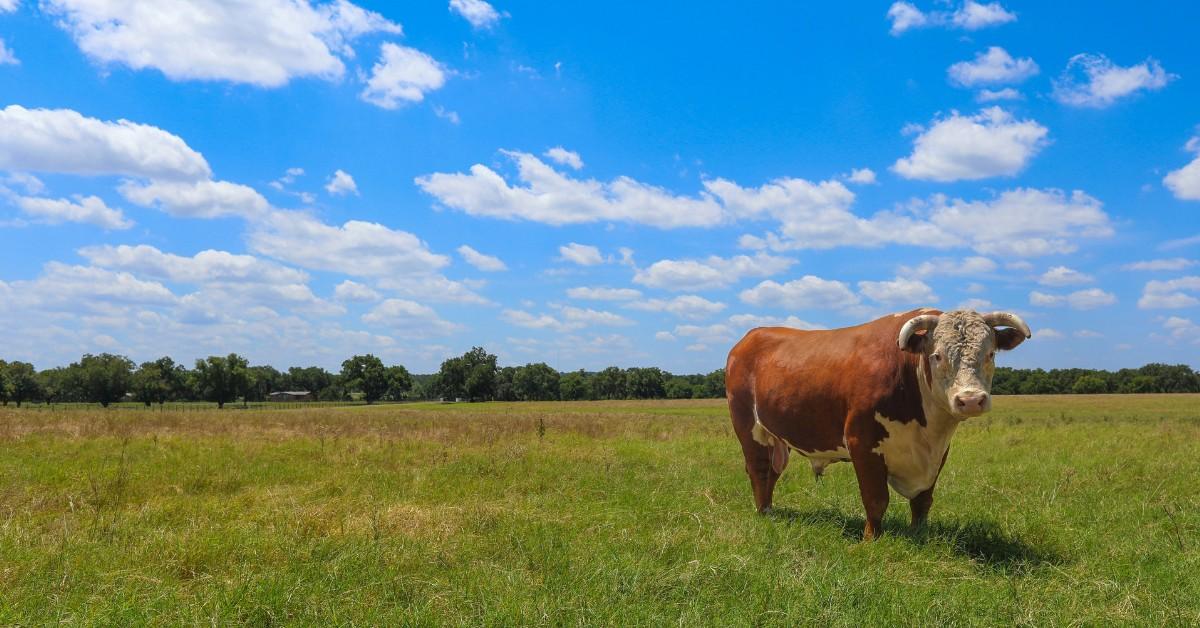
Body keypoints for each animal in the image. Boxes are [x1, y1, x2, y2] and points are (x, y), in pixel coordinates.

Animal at [725, 308, 1030, 540]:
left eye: (990, 354)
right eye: (937, 355)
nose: (971, 399)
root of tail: (750, 337)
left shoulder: (939, 452)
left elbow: (923, 501)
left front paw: (920, 534)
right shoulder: (862, 443)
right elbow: (876, 499)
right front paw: (870, 539)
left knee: (772, 472)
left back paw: (770, 508)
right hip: (748, 427)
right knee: (759, 470)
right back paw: (764, 513)